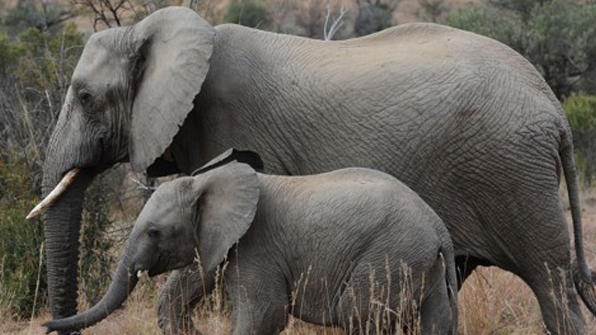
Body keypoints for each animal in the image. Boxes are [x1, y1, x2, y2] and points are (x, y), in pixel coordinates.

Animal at [44, 150, 456, 335]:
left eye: (154, 232)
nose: (47, 325)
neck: (209, 179)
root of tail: (439, 228)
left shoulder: (257, 245)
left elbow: (264, 315)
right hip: (423, 264)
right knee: (437, 321)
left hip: (389, 256)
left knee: (357, 315)